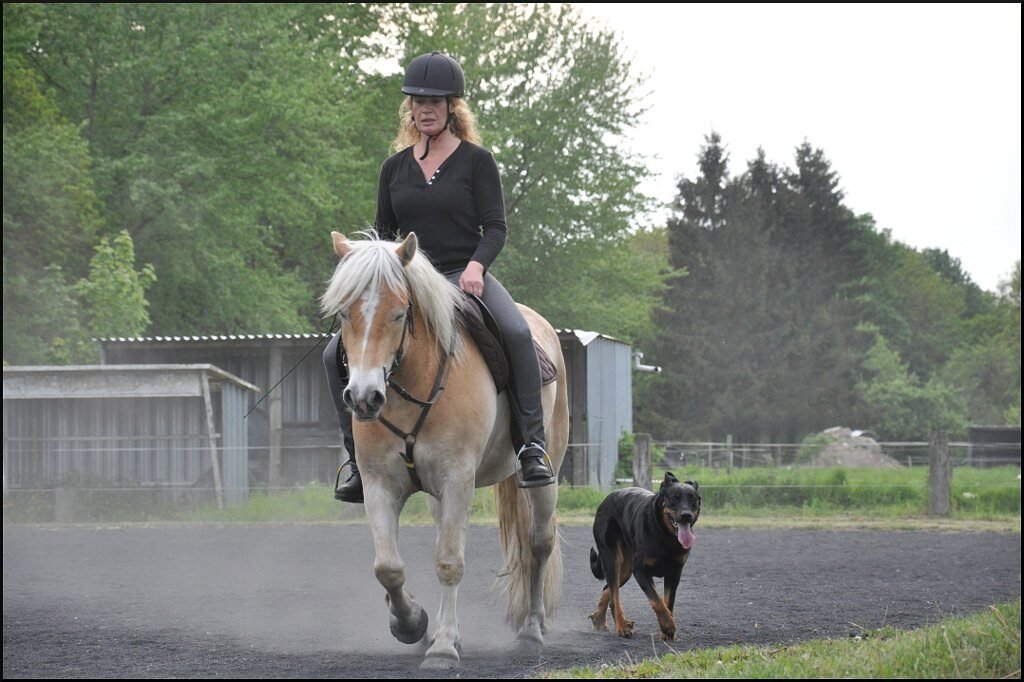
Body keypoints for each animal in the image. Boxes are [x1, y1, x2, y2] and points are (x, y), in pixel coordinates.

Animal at [320, 231, 568, 669]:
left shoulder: (457, 481)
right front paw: (411, 624)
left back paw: (531, 632)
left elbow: (449, 562)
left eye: (398, 313)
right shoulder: (380, 485)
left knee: (539, 544)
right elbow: (388, 567)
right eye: (346, 314)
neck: (411, 387)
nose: (364, 397)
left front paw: (443, 648)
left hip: (545, 477)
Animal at [589, 472, 700, 641]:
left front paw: (666, 632)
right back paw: (621, 627)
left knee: (607, 589)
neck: (664, 534)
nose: (686, 515)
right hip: (612, 559)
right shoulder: (641, 571)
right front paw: (668, 626)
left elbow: (668, 602)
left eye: (693, 500)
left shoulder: (674, 573)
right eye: (674, 498)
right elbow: (657, 600)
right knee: (614, 596)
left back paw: (600, 620)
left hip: (625, 570)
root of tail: (605, 500)